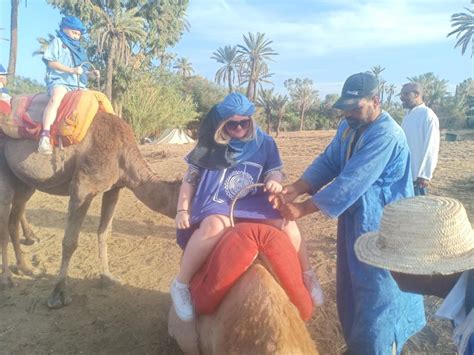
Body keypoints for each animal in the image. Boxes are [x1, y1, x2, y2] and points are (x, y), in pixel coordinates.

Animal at [0, 111, 181, 308]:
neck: (123, 152)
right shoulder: (82, 188)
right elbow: (70, 242)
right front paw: (58, 293)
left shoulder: (114, 188)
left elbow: (104, 233)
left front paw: (107, 277)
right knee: (5, 217)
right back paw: (7, 279)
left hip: (24, 182)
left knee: (13, 221)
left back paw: (27, 268)